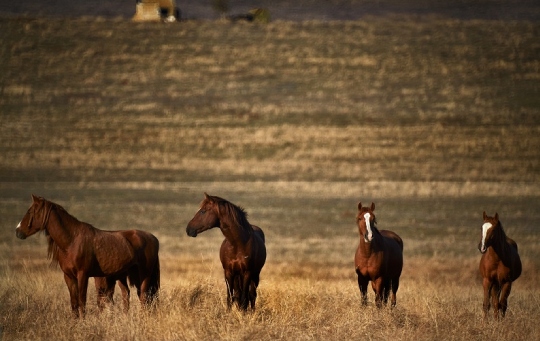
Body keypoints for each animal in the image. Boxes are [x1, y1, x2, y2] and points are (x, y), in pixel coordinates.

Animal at [15, 195, 160, 318]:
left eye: (30, 212)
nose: (18, 231)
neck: (72, 240)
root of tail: (153, 238)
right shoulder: (69, 276)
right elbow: (74, 302)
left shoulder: (83, 275)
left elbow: (82, 300)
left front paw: (83, 321)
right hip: (122, 276)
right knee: (127, 295)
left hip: (144, 275)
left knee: (143, 296)